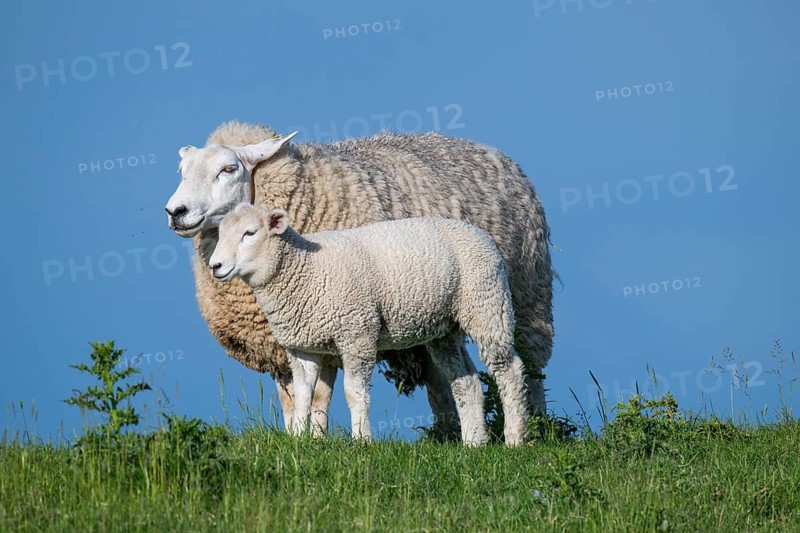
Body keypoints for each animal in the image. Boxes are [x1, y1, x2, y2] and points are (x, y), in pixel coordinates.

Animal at [209, 204, 530, 445]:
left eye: (250, 233)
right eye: (221, 233)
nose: (215, 266)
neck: (306, 270)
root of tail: (479, 233)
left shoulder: (357, 334)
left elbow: (353, 392)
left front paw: (362, 440)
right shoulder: (302, 347)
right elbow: (302, 395)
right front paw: (299, 440)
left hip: (487, 305)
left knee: (508, 370)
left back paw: (514, 438)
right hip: (445, 329)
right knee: (466, 382)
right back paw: (474, 443)